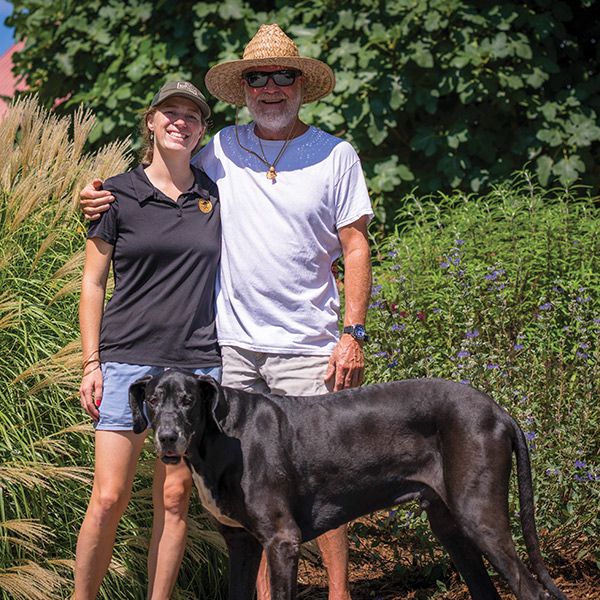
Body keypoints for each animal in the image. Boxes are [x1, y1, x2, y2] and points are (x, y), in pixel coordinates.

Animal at [127, 370, 568, 600]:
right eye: (152, 399)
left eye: (188, 401)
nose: (167, 437)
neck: (218, 435)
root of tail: (498, 410)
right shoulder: (241, 544)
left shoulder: (282, 541)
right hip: (450, 527)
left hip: (480, 517)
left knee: (529, 589)